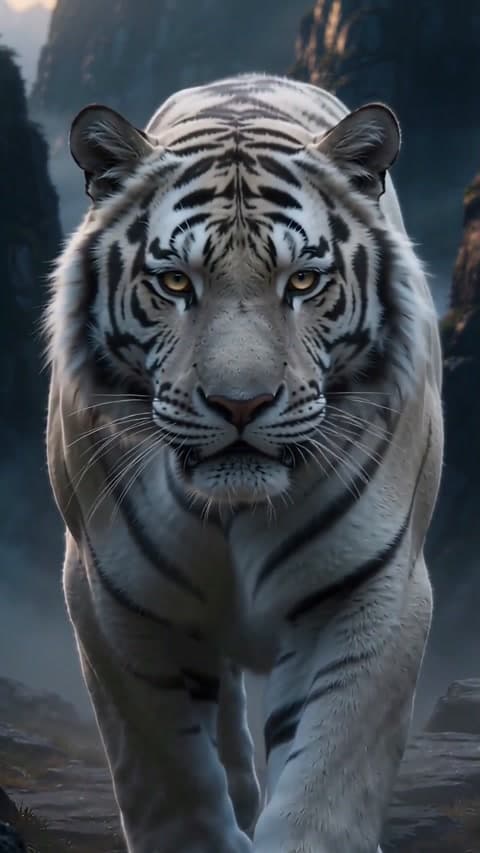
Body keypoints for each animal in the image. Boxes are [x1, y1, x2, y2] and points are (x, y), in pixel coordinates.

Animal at [45, 73, 443, 853]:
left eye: (303, 282)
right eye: (175, 284)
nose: (241, 403)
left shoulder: (372, 593)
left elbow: (326, 784)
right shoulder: (113, 601)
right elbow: (170, 779)